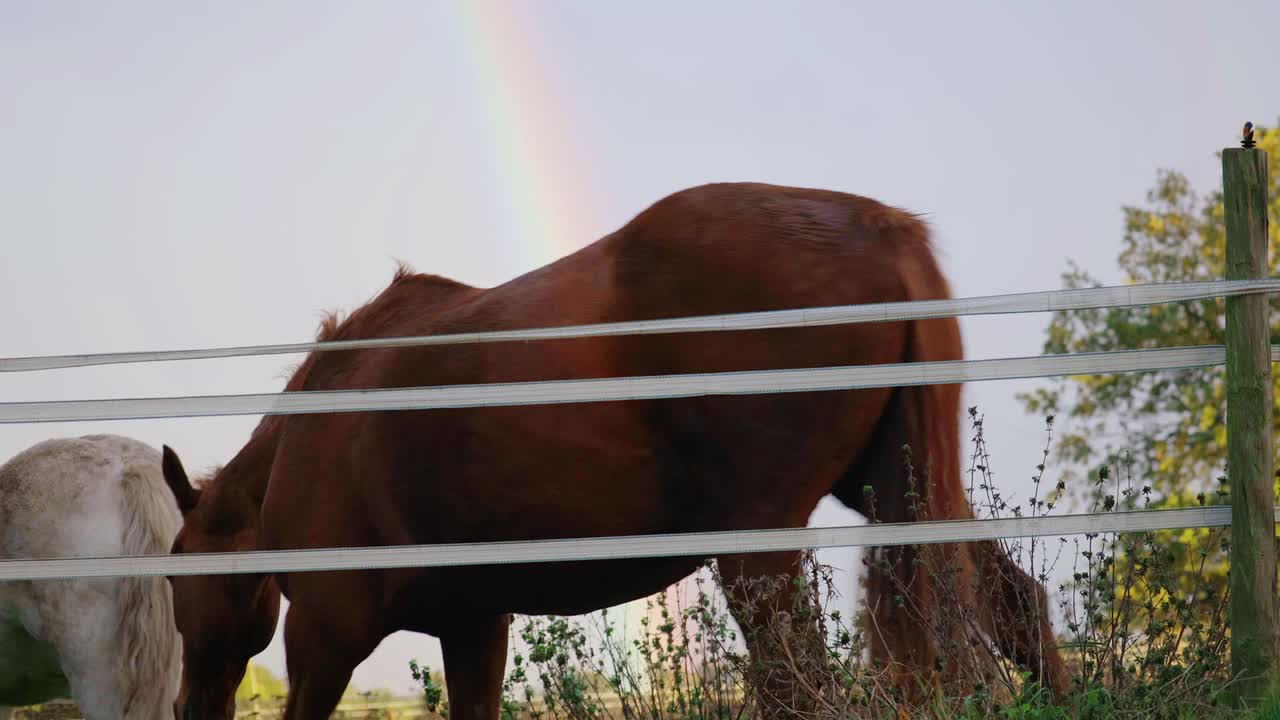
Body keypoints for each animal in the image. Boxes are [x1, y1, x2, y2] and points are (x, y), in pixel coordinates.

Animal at [160, 182, 1068, 719]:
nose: (187, 707)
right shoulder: (474, 626)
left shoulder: (325, 629)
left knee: (798, 683)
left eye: (172, 574)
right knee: (1014, 604)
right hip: (901, 492)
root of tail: (879, 228)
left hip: (761, 549)